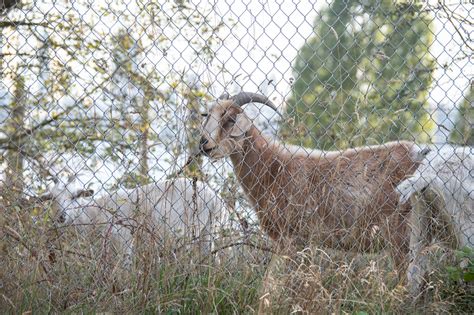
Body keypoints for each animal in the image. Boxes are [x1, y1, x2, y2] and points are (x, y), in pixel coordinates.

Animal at [52, 178, 227, 264]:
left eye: (74, 197)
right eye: (53, 199)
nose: (61, 216)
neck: (94, 213)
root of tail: (215, 199)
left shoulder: (122, 236)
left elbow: (125, 262)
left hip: (184, 228)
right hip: (209, 229)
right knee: (212, 258)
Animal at [198, 91, 424, 272]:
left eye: (230, 120)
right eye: (208, 116)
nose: (204, 144)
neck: (273, 167)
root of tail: (420, 155)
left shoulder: (290, 238)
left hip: (401, 234)